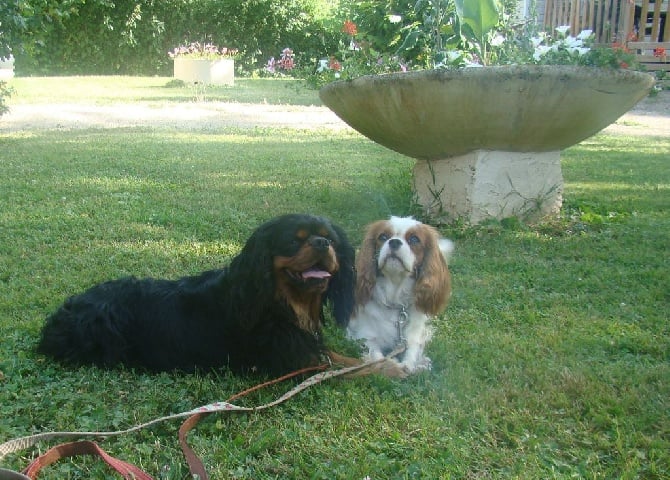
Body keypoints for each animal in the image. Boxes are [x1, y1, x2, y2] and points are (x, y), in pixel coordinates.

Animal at [350, 217, 454, 376]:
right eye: (383, 237)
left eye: (414, 239)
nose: (394, 242)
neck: (394, 296)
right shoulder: (365, 335)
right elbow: (377, 356)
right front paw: (392, 366)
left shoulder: (412, 336)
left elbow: (412, 351)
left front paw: (412, 365)